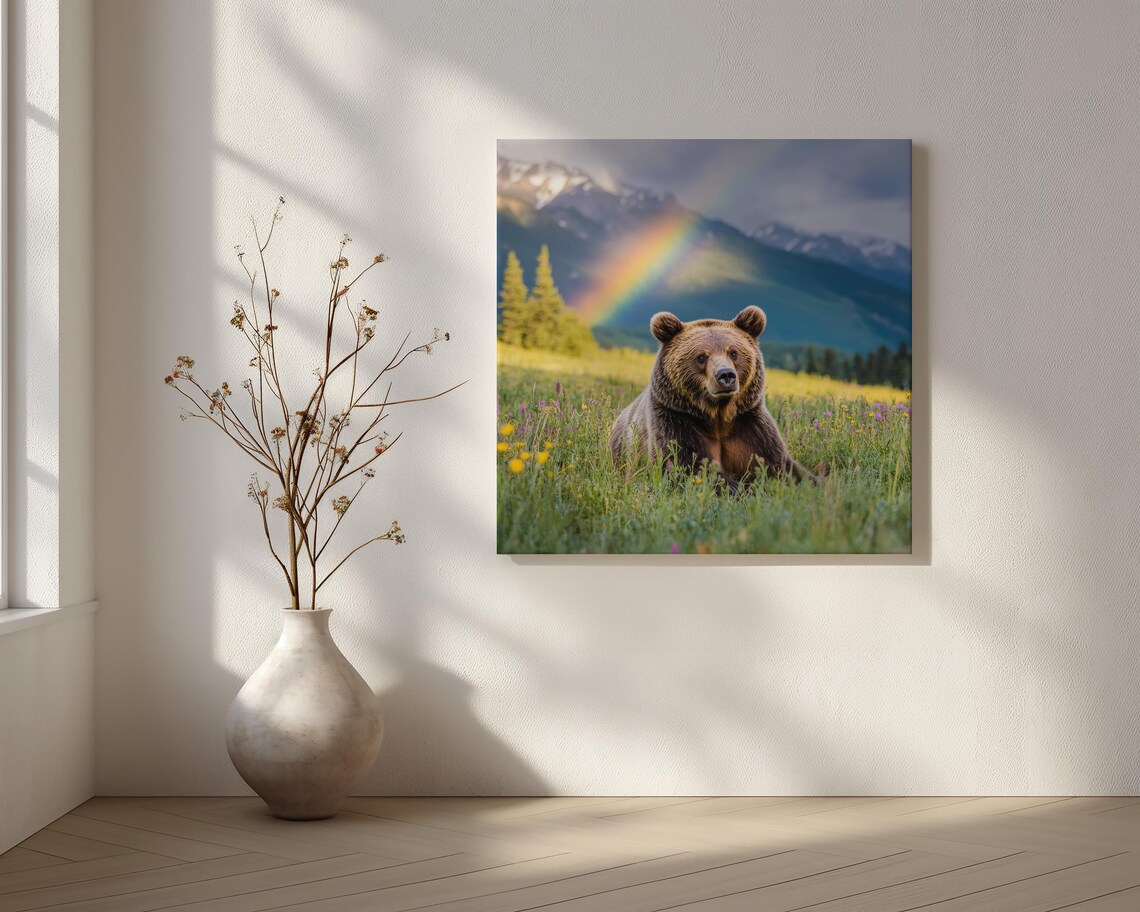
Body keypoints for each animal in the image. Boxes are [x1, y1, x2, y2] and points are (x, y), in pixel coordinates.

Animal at [609, 306, 813, 489]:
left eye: (733, 352)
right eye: (701, 356)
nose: (726, 375)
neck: (718, 415)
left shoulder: (749, 425)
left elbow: (779, 465)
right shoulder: (674, 420)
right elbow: (688, 466)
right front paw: (742, 489)